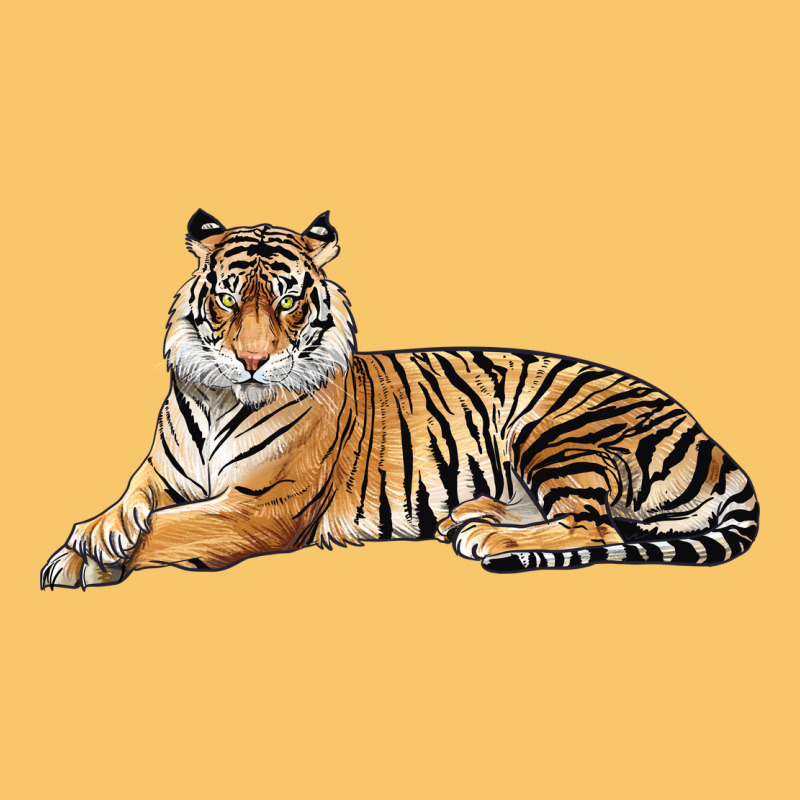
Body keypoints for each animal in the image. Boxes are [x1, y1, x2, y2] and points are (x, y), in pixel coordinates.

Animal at [41, 209, 759, 589]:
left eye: (287, 299)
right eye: (226, 298)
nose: (252, 360)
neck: (220, 400)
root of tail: (712, 440)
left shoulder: (262, 508)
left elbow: (173, 527)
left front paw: (85, 560)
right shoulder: (162, 473)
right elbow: (131, 501)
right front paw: (94, 537)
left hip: (555, 431)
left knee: (595, 524)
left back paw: (487, 538)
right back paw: (468, 517)